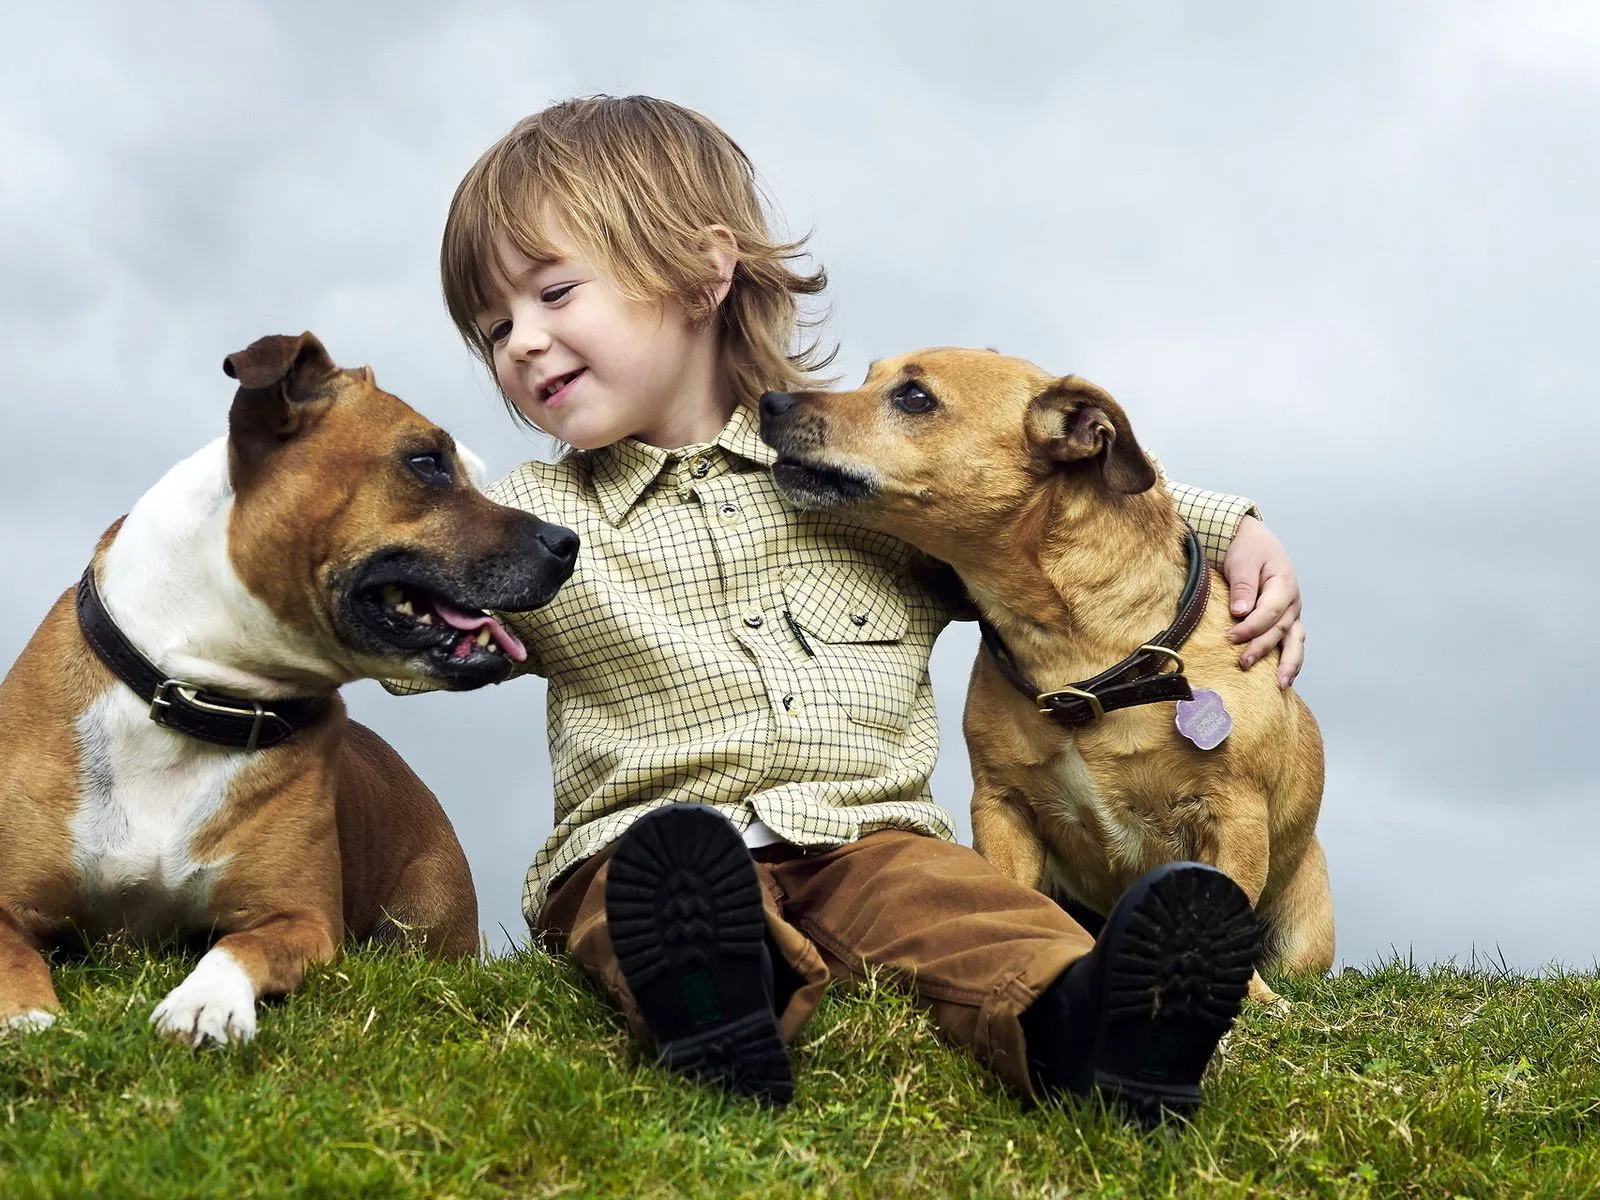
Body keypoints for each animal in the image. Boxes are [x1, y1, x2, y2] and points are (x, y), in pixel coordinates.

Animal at [0, 334, 576, 1049]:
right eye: (426, 463)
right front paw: (26, 1017)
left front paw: (205, 1002)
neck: (197, 698)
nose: (567, 541)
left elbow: (236, 947)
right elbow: (12, 952)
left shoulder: (298, 917)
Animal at [755, 350, 1331, 1004]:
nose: (771, 401)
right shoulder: (1003, 807)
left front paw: (1252, 1001)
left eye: (914, 397)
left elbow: (1226, 905)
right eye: (870, 375)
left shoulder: (1232, 814)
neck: (1078, 660)